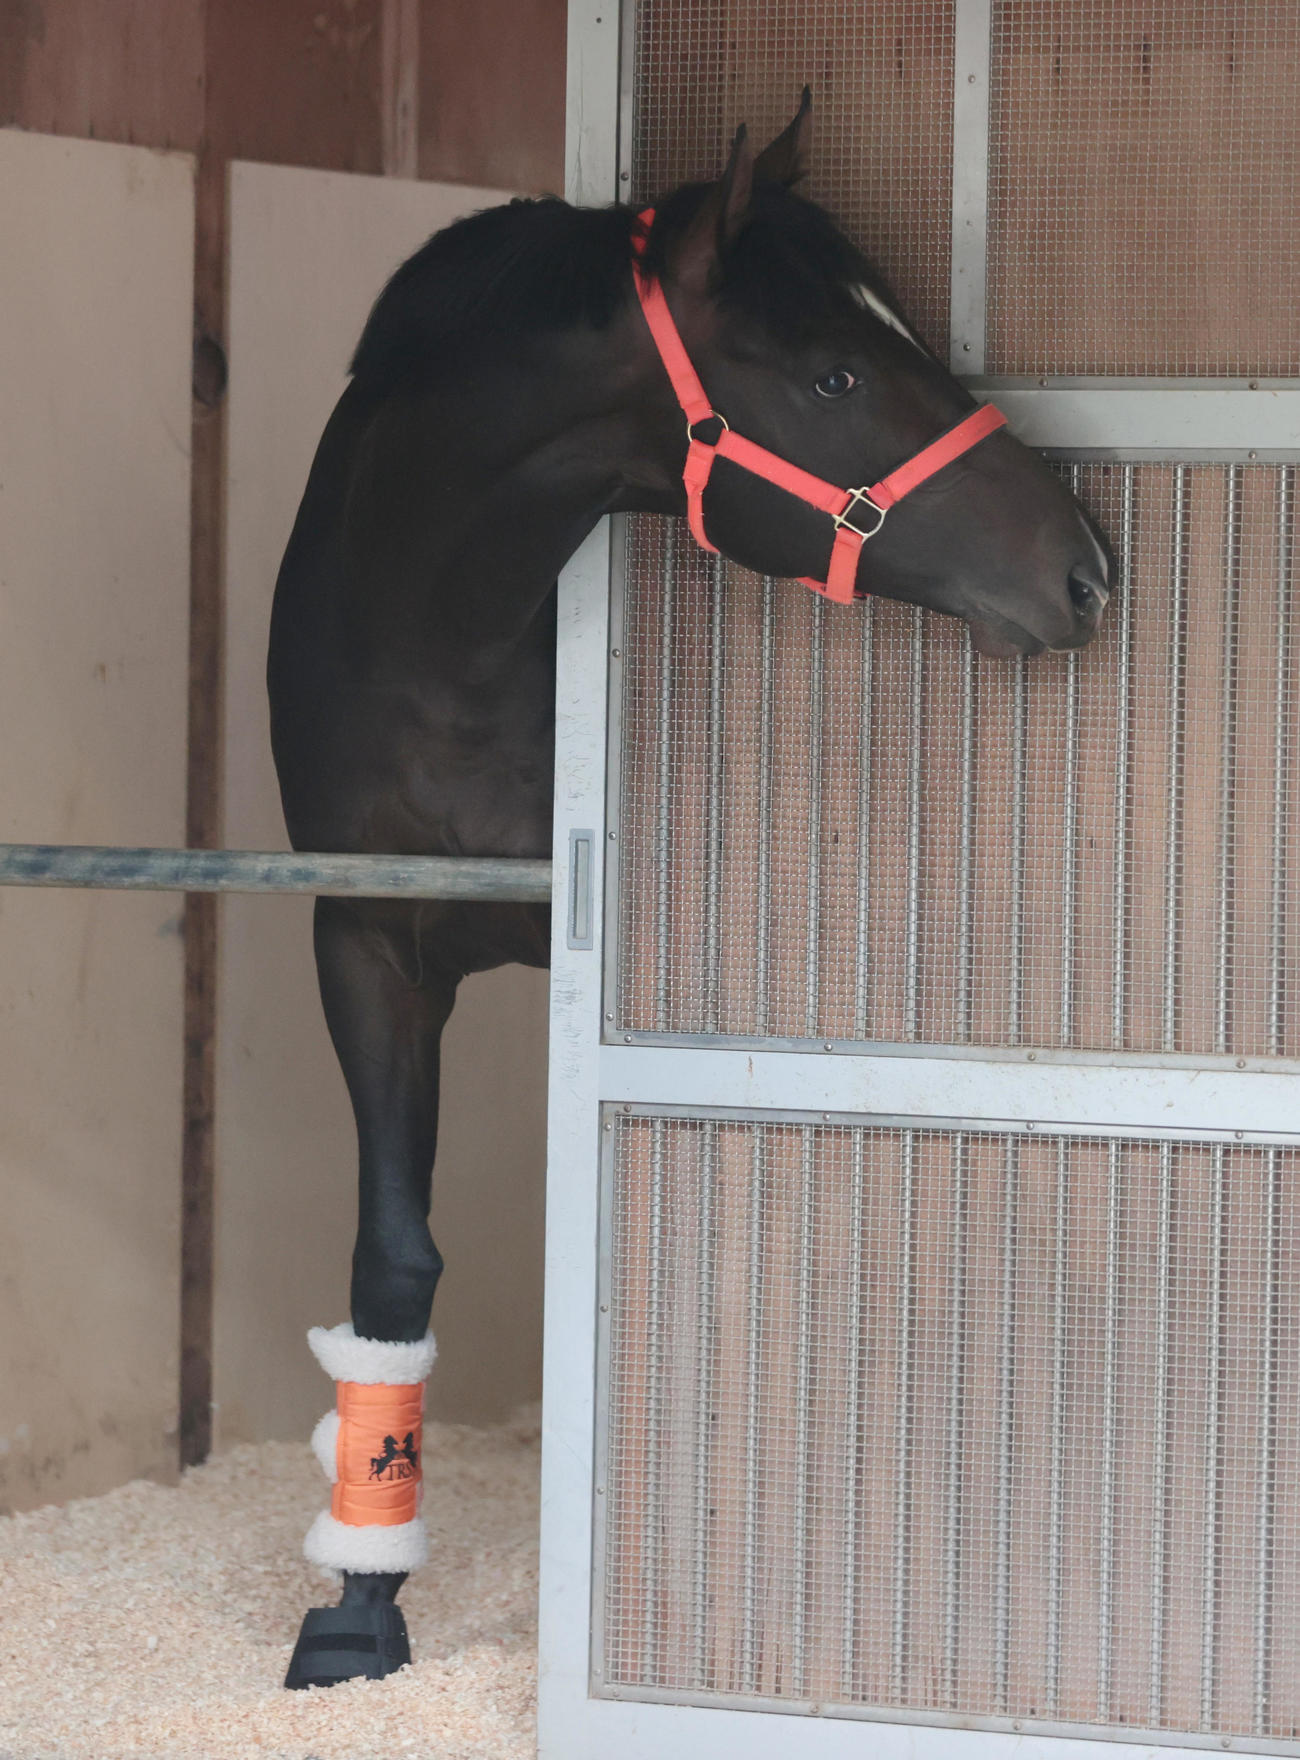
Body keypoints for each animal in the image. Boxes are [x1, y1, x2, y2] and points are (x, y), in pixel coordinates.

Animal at [268, 93, 1111, 1688]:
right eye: (836, 371)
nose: (1088, 570)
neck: (445, 639)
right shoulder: (366, 943)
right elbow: (390, 1261)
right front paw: (357, 1604)